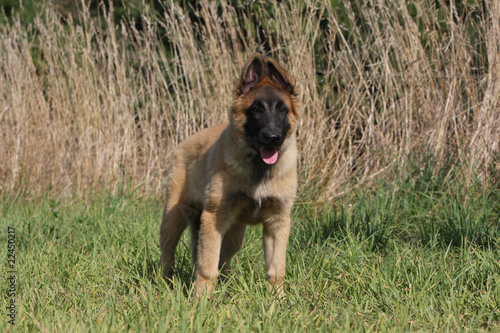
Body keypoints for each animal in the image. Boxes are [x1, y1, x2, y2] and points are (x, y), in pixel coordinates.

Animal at [160, 52, 300, 296]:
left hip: (235, 232)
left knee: (224, 258)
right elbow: (207, 266)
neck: (259, 168)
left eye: (282, 109)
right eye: (255, 110)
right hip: (174, 217)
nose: (272, 137)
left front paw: (278, 299)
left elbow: (276, 268)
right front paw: (201, 300)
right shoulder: (214, 217)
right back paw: (162, 282)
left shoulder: (278, 222)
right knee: (168, 253)